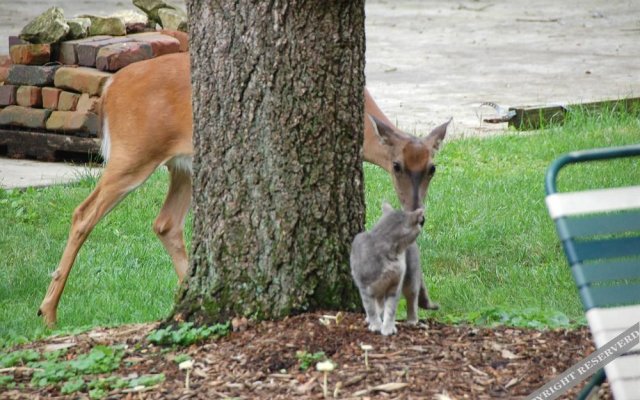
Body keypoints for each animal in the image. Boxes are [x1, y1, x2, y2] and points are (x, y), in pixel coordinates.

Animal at [350, 203, 436, 334]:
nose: (423, 220)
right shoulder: (365, 287)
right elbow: (371, 309)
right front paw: (376, 325)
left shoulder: (395, 285)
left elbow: (390, 309)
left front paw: (388, 328)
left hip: (411, 278)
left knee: (412, 299)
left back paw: (412, 320)